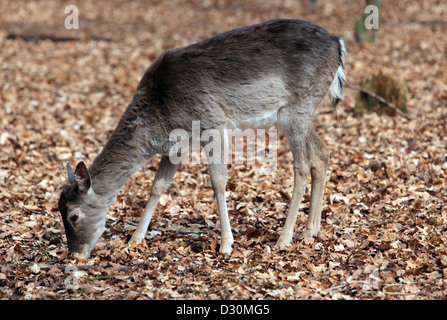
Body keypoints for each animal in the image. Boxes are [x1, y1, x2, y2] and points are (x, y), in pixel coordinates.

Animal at [58, 18, 346, 258]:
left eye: (74, 216)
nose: (75, 254)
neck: (160, 115)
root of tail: (338, 43)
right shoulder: (176, 146)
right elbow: (157, 186)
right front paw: (135, 240)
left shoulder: (213, 124)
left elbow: (218, 181)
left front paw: (226, 244)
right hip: (304, 113)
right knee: (321, 153)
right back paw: (310, 231)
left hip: (297, 109)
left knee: (302, 165)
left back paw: (284, 239)